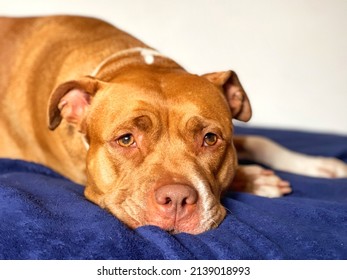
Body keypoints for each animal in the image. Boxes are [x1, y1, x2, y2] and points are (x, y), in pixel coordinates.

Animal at [0, 15, 347, 234]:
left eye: (210, 138)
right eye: (126, 139)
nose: (177, 199)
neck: (127, 61)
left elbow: (260, 140)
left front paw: (320, 166)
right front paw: (255, 179)